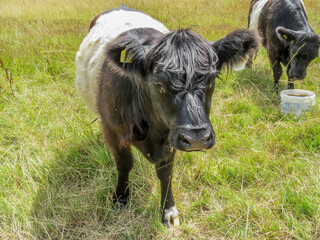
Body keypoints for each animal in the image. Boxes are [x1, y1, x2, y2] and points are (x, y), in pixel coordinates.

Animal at [75, 5, 260, 227]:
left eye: (212, 80)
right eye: (158, 83)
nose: (197, 138)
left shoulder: (171, 137)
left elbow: (165, 173)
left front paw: (168, 210)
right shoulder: (114, 130)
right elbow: (124, 164)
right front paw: (121, 197)